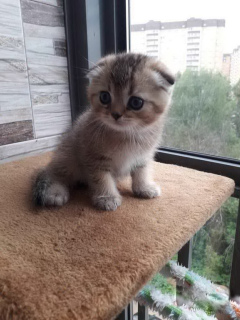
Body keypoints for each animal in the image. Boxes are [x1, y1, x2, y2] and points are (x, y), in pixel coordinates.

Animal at [32, 53, 174, 211]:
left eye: (136, 102)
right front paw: (107, 197)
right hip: (68, 156)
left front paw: (144, 187)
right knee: (54, 173)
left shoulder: (142, 156)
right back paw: (55, 192)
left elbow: (141, 171)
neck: (126, 134)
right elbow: (101, 178)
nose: (116, 114)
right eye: (104, 97)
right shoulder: (94, 158)